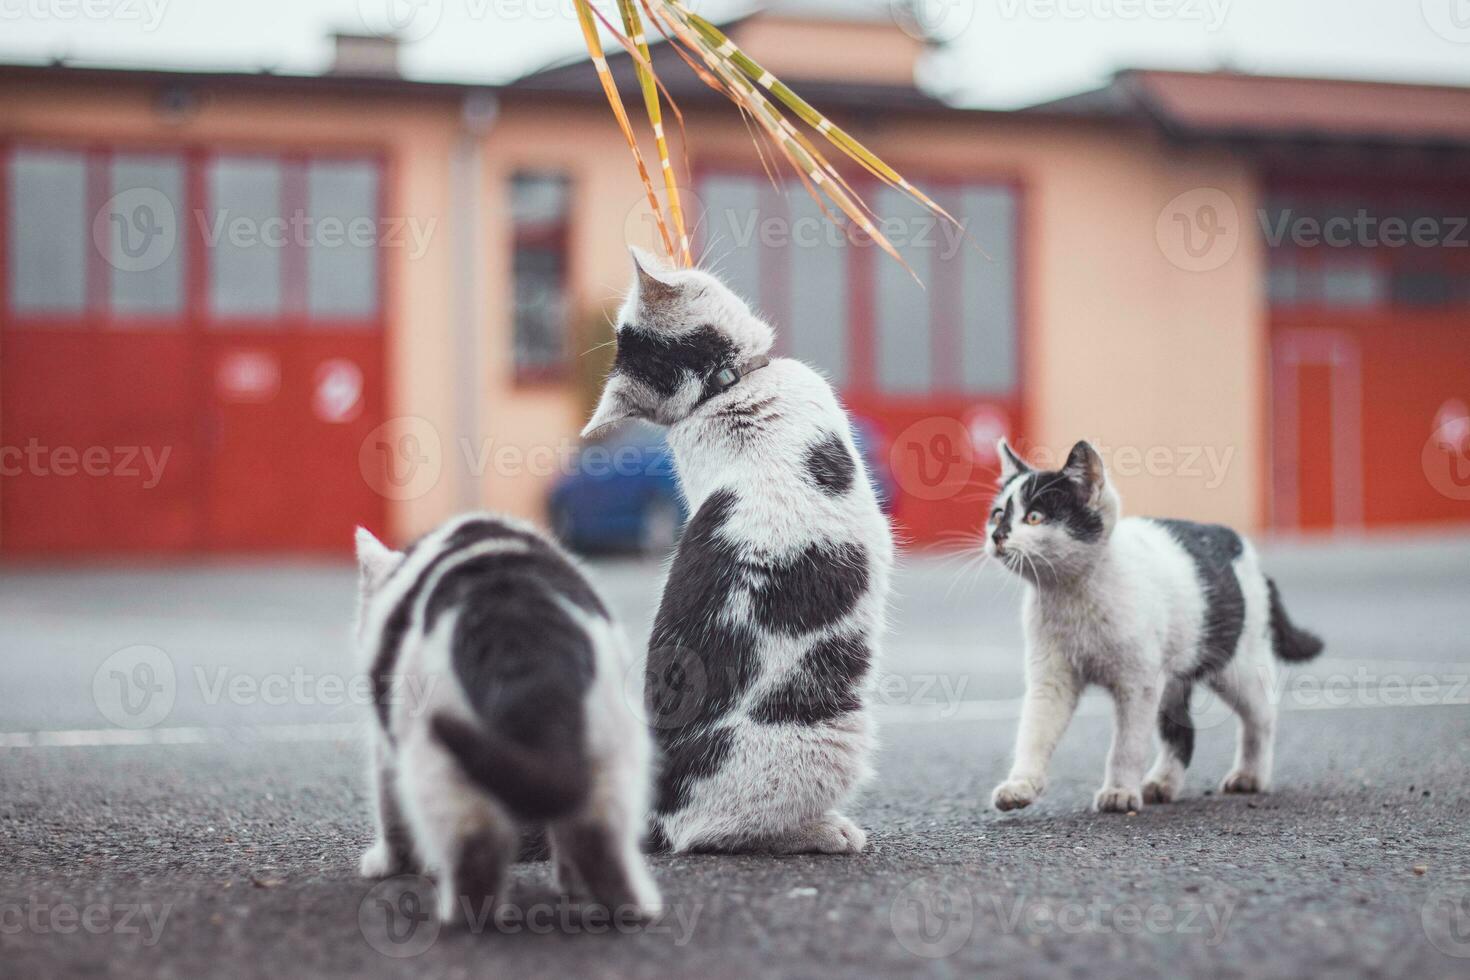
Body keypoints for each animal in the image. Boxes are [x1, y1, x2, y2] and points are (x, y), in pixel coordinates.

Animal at [352, 517, 658, 922]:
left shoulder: (388, 751)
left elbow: (391, 814)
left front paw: (387, 865)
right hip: (612, 759)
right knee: (598, 843)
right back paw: (632, 907)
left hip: (440, 769)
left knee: (474, 861)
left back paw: (459, 918)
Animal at [987, 440, 1323, 816]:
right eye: (998, 515)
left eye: (1034, 517)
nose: (997, 536)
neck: (1071, 594)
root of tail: (1242, 548)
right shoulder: (1052, 678)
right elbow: (1034, 733)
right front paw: (1020, 785)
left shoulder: (1139, 683)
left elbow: (1127, 744)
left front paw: (1119, 792)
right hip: (1174, 677)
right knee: (1184, 732)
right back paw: (1163, 783)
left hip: (1236, 663)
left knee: (1262, 714)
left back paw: (1250, 775)